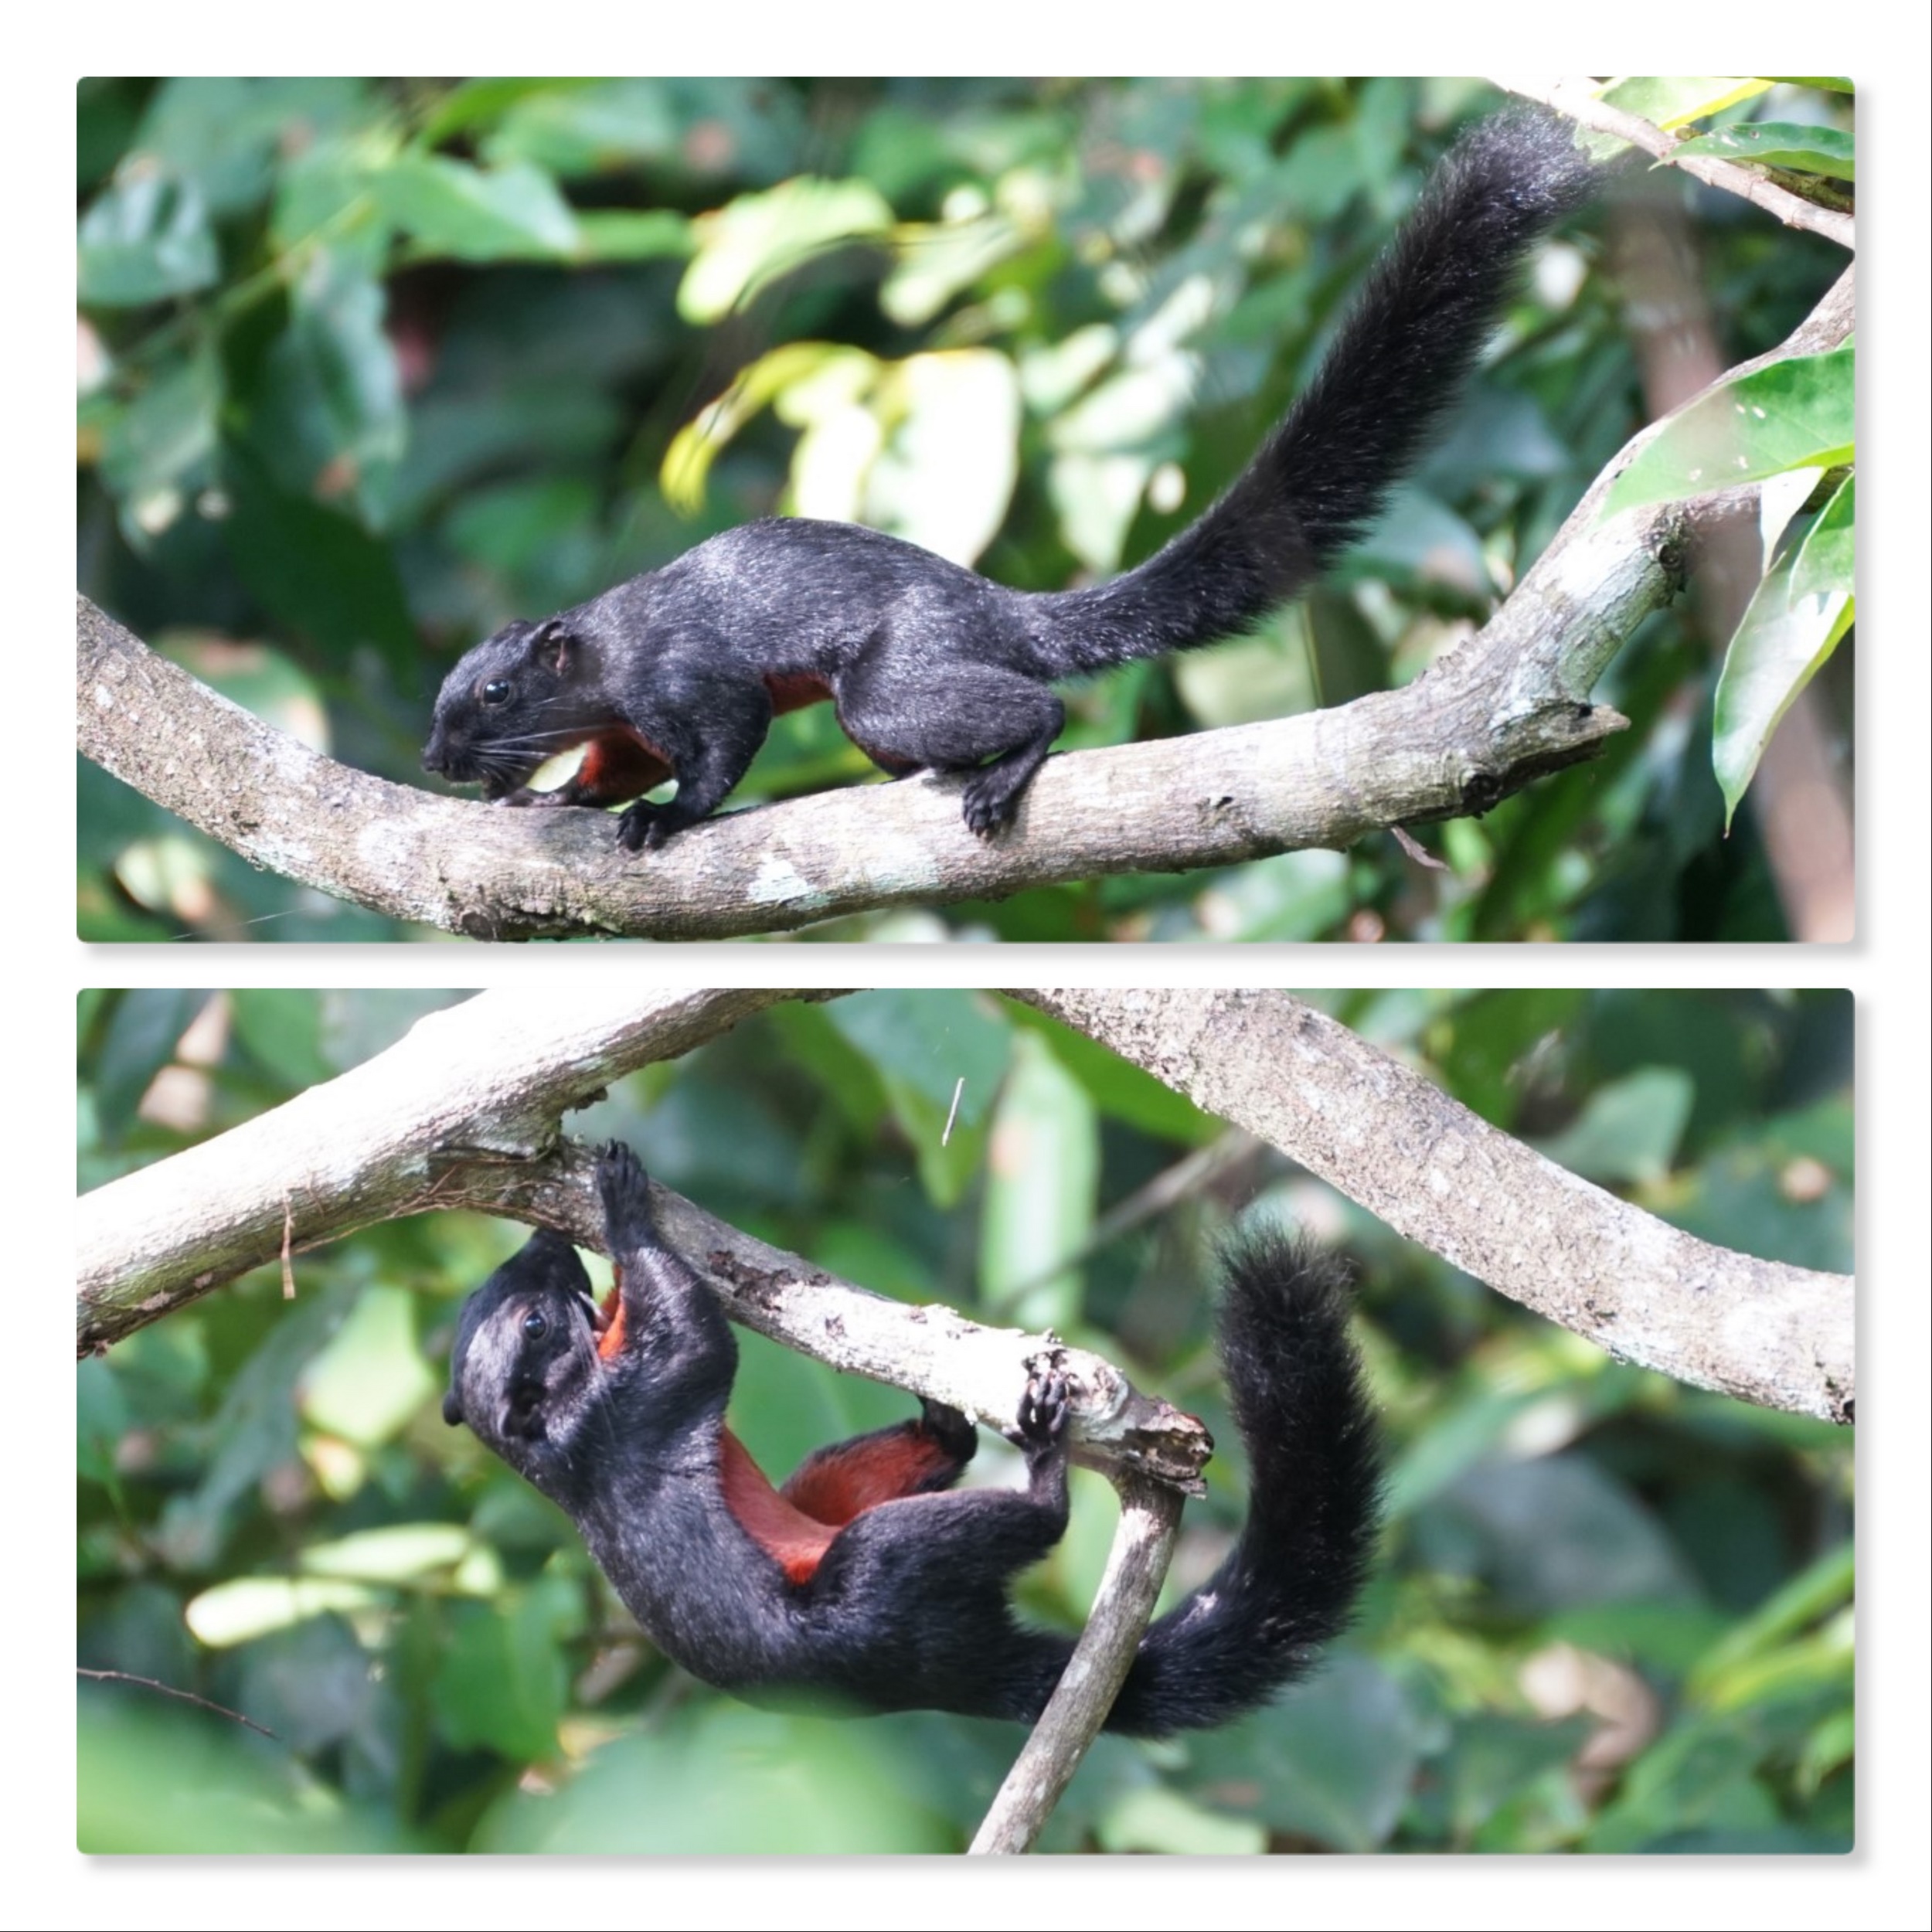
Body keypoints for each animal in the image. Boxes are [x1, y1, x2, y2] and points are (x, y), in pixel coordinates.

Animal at [422, 110, 1598, 850]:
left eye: (496, 693)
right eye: (454, 691)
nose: (435, 757)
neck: (607, 659)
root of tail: (1001, 609)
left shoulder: (685, 680)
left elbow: (720, 752)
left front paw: (662, 821)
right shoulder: (625, 726)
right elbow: (611, 767)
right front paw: (551, 802)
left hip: (889, 684)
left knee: (1030, 704)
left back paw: (999, 771)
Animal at [441, 1140, 1381, 1735]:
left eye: (493, 1298)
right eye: (532, 1326)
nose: (543, 1241)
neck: (554, 1441)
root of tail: (953, 1672)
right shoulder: (635, 1405)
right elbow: (699, 1340)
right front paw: (624, 1209)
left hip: (826, 1493)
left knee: (913, 1467)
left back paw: (943, 1408)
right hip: (877, 1583)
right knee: (1004, 1528)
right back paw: (1040, 1464)